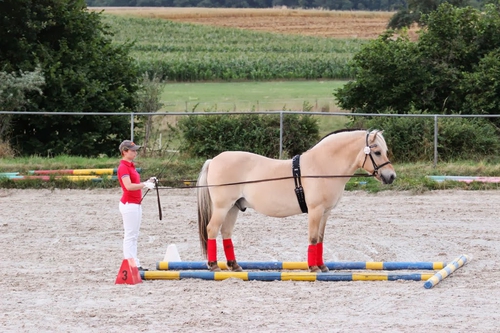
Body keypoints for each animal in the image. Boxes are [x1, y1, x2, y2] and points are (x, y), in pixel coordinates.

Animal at [195, 128, 394, 272]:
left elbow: (320, 238)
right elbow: (313, 238)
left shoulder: (325, 212)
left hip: (233, 208)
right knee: (212, 229)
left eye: (384, 151)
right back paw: (213, 265)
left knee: (226, 233)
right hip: (222, 207)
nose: (391, 176)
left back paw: (234, 265)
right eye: (377, 152)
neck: (322, 167)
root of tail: (213, 160)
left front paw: (322, 266)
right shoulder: (315, 210)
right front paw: (313, 267)